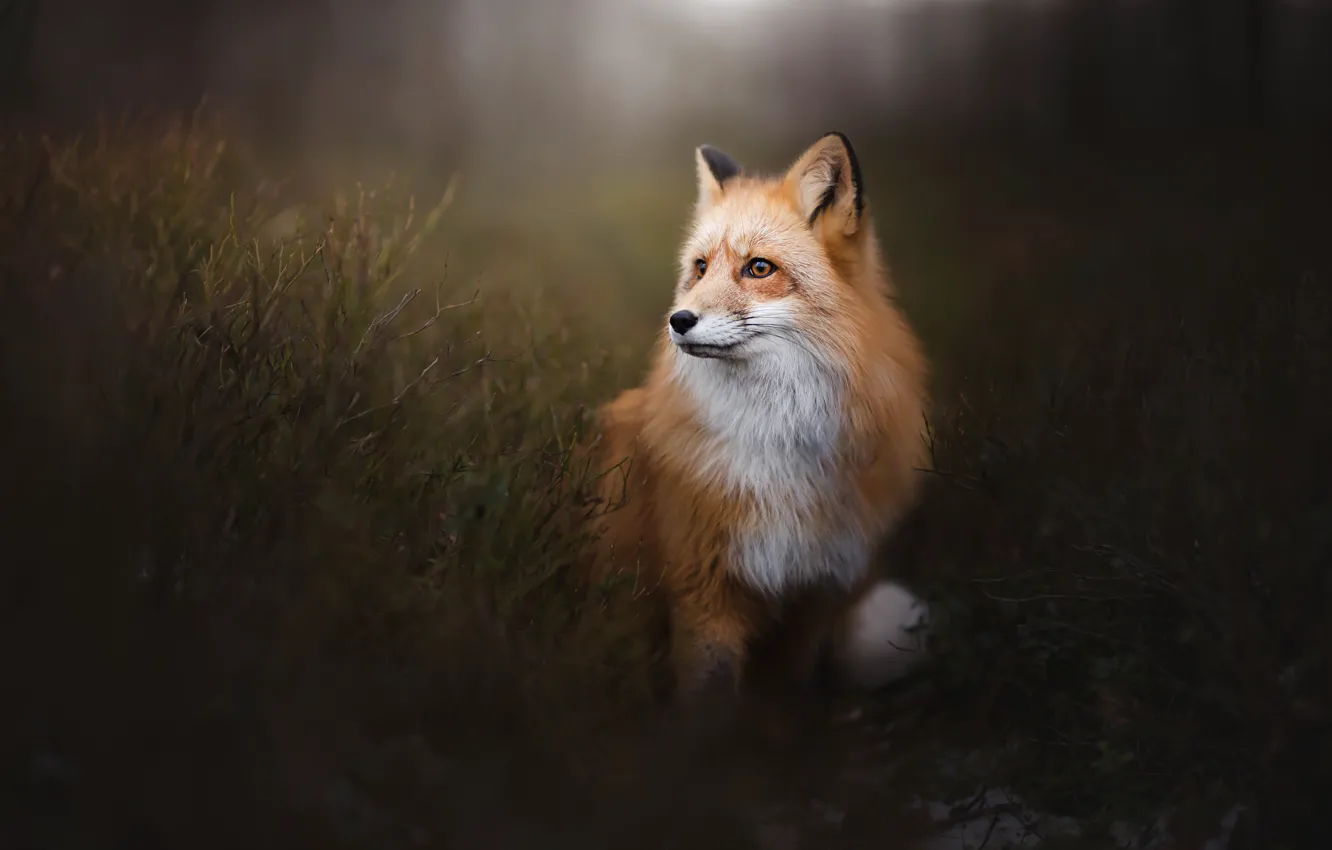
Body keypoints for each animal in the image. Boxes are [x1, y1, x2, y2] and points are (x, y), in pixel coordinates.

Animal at [585, 132, 931, 711]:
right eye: (701, 268)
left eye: (760, 268)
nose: (678, 321)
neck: (779, 444)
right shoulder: (703, 587)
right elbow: (708, 703)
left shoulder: (817, 592)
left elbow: (785, 697)